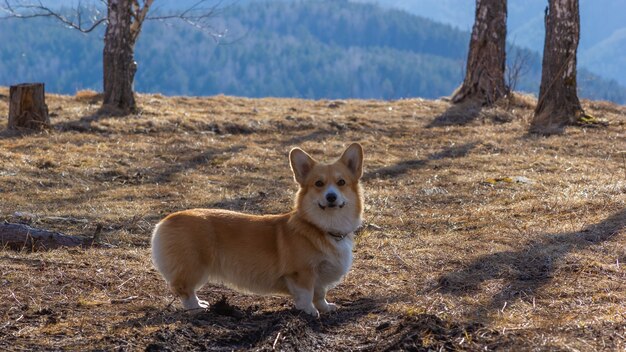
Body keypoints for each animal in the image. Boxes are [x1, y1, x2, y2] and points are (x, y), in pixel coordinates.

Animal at [151, 143, 364, 316]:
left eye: (341, 182)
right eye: (319, 183)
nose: (331, 197)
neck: (323, 227)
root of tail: (164, 222)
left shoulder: (319, 278)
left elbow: (320, 294)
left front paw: (326, 308)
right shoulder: (301, 273)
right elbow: (306, 295)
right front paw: (309, 312)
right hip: (194, 267)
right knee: (184, 290)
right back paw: (197, 308)